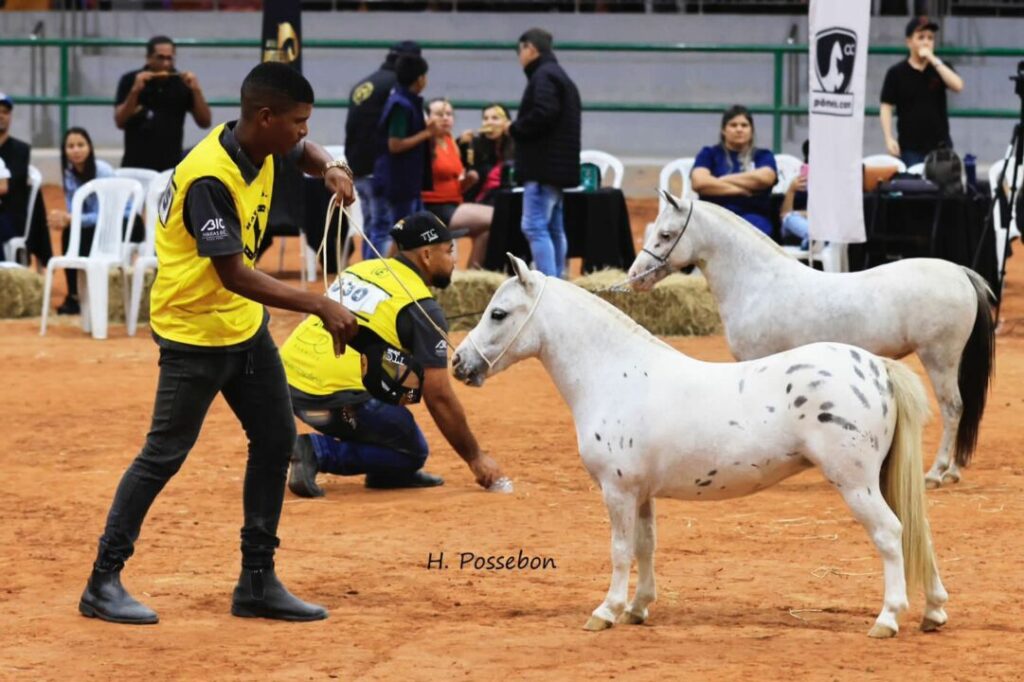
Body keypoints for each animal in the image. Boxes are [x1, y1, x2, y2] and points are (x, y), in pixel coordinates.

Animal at [452, 254, 948, 637]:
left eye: (499, 313)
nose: (459, 362)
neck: (616, 373)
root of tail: (877, 367)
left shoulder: (618, 490)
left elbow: (620, 550)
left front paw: (606, 611)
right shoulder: (642, 493)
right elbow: (645, 546)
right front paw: (637, 608)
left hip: (855, 483)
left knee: (891, 535)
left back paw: (888, 618)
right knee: (917, 531)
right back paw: (934, 611)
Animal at [628, 193, 996, 490]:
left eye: (665, 234)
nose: (634, 277)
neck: (758, 282)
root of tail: (961, 272)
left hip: (939, 358)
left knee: (953, 408)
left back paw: (936, 473)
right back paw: (953, 470)